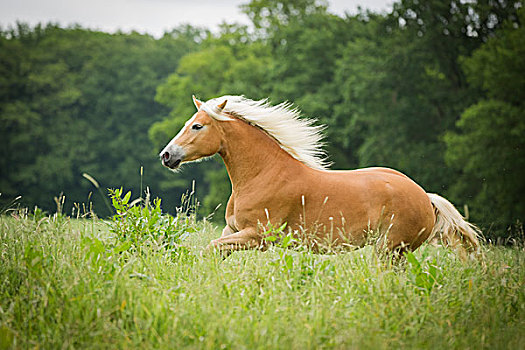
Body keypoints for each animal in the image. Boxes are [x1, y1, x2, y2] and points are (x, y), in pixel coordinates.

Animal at [159, 94, 478, 258]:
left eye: (197, 126)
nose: (166, 155)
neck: (262, 174)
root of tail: (426, 197)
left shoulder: (258, 236)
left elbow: (210, 249)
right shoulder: (232, 230)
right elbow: (214, 251)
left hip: (389, 250)